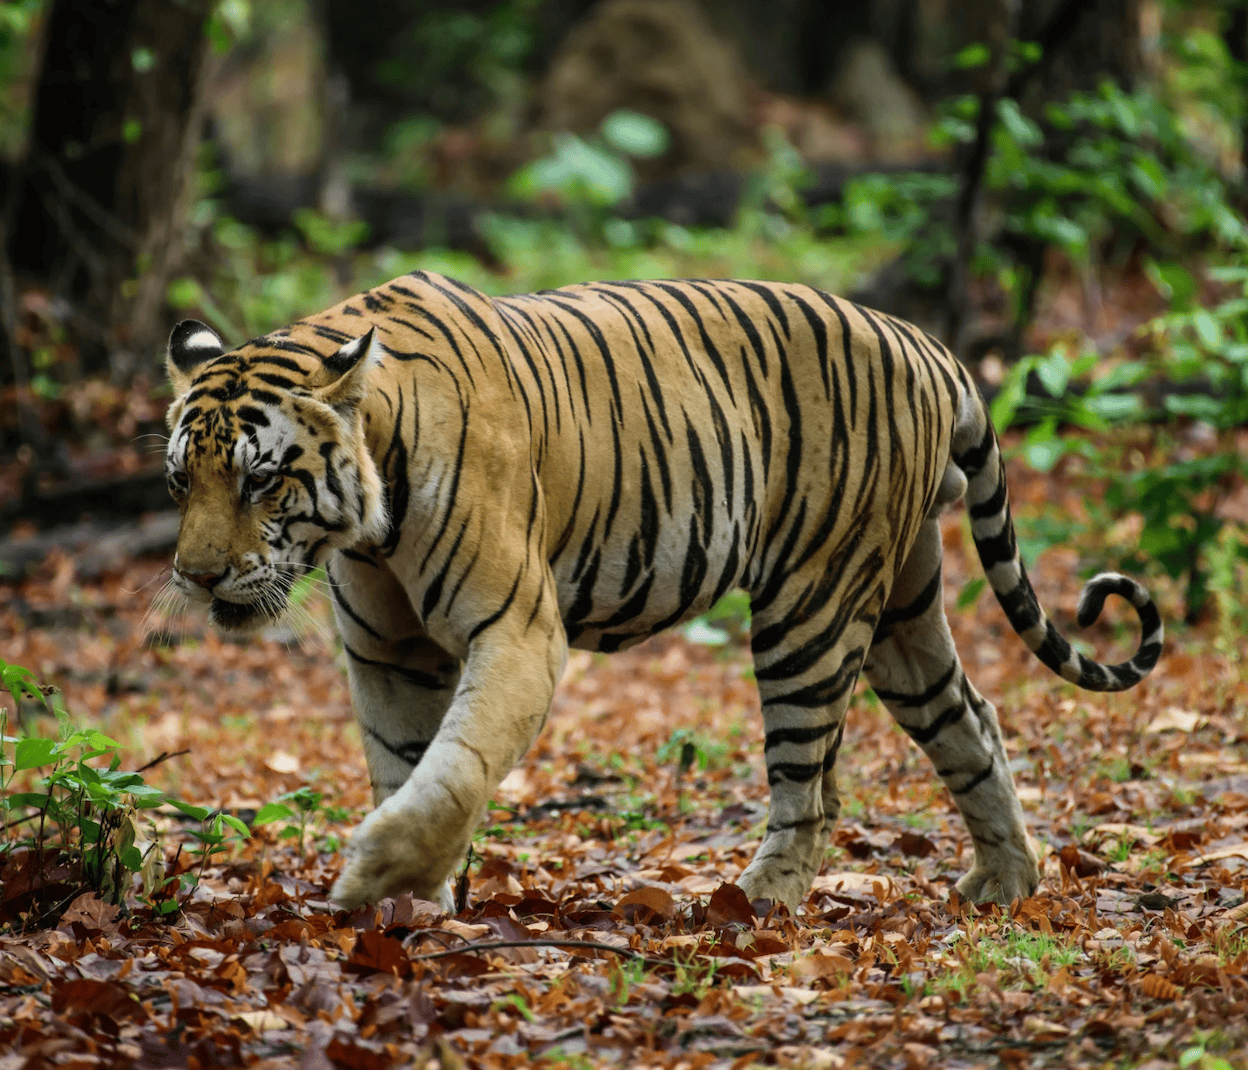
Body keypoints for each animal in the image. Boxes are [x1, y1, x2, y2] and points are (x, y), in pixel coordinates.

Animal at [163, 270, 1162, 913]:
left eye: (259, 481)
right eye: (181, 481)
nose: (197, 577)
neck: (367, 520)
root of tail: (923, 343)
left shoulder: (518, 631)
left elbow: (456, 766)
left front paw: (374, 876)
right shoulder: (389, 651)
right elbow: (404, 763)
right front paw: (409, 904)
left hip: (811, 605)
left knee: (811, 786)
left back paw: (755, 903)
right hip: (901, 611)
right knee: (972, 720)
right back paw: (1006, 883)